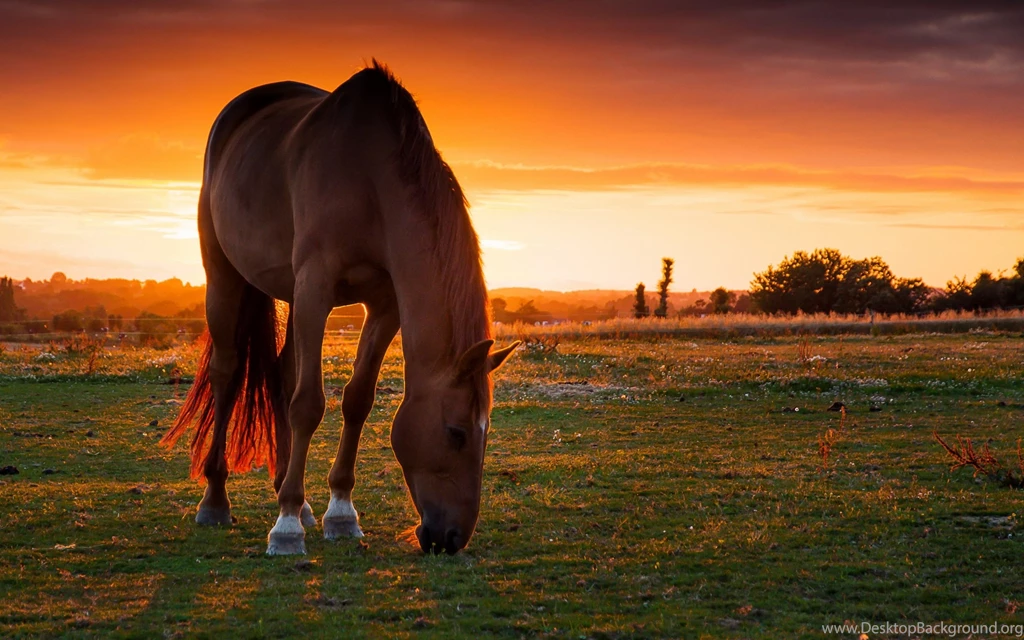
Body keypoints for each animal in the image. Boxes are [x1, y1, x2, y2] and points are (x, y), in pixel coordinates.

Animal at [161, 61, 519, 556]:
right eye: (457, 433)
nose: (451, 538)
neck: (370, 179)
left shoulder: (384, 304)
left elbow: (357, 399)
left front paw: (340, 513)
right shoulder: (316, 287)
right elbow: (309, 403)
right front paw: (286, 527)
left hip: (291, 294)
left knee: (282, 373)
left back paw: (294, 494)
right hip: (226, 276)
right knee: (227, 373)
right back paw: (217, 501)